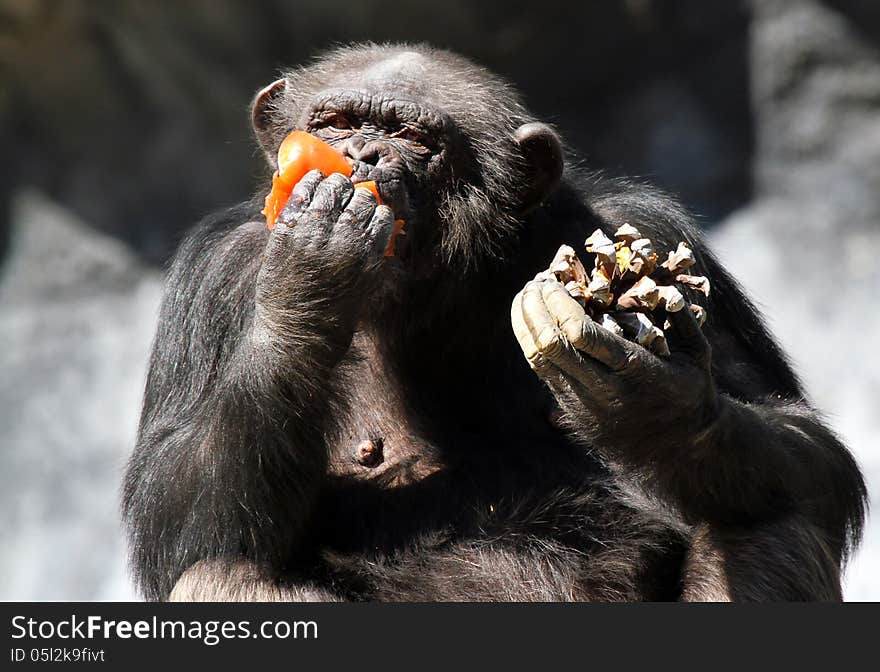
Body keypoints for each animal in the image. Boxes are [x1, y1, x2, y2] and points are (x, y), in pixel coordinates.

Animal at [122, 42, 868, 600]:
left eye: (413, 136)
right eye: (334, 122)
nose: (363, 157)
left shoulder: (649, 227)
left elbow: (807, 447)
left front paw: (655, 402)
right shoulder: (213, 273)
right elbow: (172, 506)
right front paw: (310, 273)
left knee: (766, 524)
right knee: (222, 574)